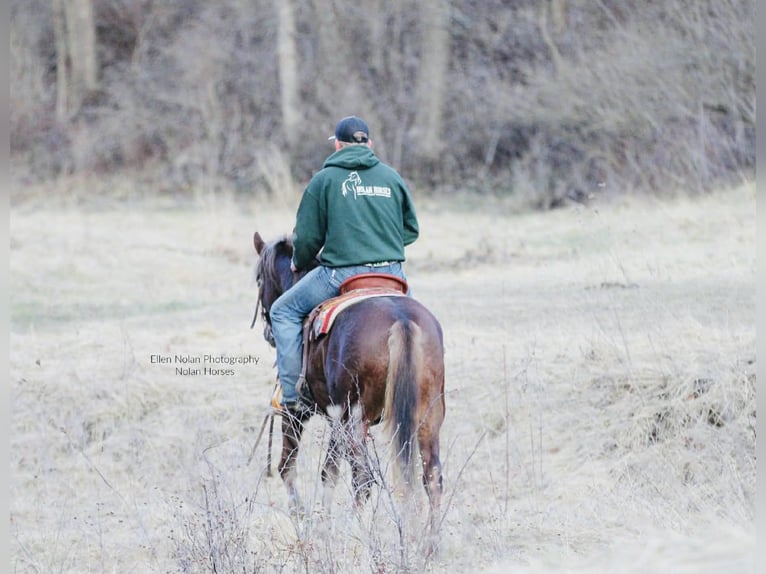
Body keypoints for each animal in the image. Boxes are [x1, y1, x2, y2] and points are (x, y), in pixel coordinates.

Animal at [252, 231, 446, 538]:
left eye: (259, 279)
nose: (269, 333)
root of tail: (401, 321)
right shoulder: (334, 420)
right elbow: (329, 471)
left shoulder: (296, 414)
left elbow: (288, 466)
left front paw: (304, 517)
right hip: (427, 415)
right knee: (432, 476)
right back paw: (431, 542)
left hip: (352, 419)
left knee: (363, 477)